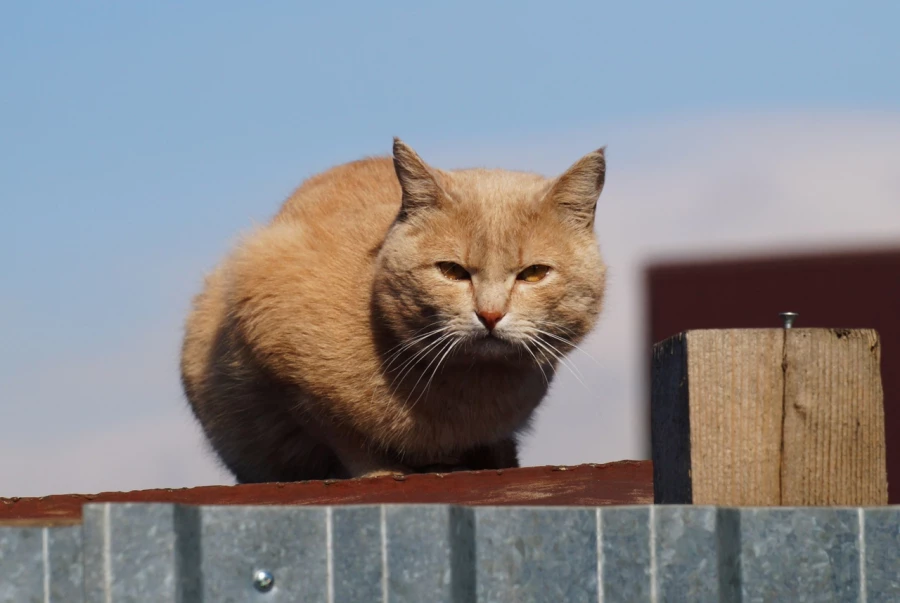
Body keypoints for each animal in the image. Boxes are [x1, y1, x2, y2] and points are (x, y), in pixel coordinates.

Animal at [179, 139, 608, 484]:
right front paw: (381, 471)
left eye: (533, 273)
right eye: (451, 271)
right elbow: (343, 434)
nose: (489, 315)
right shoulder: (274, 344)